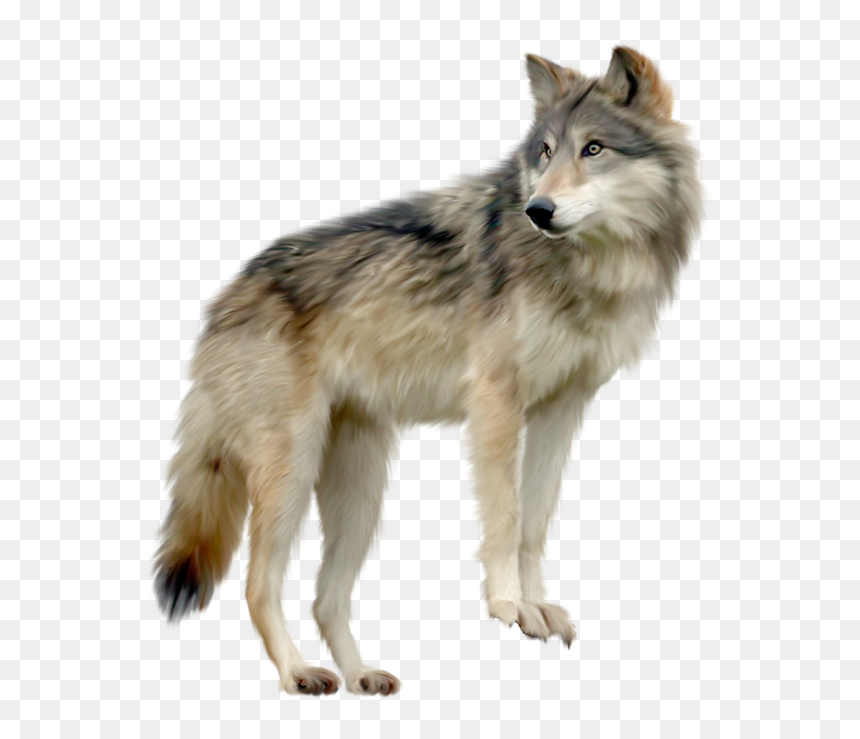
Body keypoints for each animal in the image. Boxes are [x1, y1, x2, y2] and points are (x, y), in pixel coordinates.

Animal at [154, 46, 702, 696]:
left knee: (325, 598)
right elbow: (505, 517)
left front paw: (537, 607)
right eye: (545, 152)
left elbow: (533, 522)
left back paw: (361, 676)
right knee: (258, 584)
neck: (590, 268)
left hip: (360, 492)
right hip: (291, 470)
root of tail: (226, 297)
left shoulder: (561, 409)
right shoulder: (496, 401)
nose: (538, 210)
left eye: (593, 148)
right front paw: (509, 606)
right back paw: (298, 673)